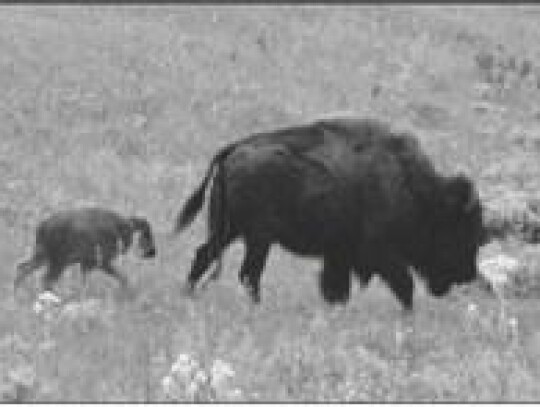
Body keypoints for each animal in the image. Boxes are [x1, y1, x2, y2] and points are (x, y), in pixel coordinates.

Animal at [14, 210, 156, 294]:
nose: (151, 252)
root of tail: (42, 227)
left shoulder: (87, 264)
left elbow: (84, 281)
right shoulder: (101, 262)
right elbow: (122, 277)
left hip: (43, 255)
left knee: (23, 267)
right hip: (58, 261)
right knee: (46, 279)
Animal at [174, 118, 486, 312]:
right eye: (459, 231)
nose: (468, 275)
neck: (411, 185)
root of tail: (233, 150)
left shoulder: (340, 253)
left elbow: (337, 288)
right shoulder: (379, 251)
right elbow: (404, 284)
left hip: (230, 230)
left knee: (205, 255)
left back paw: (188, 296)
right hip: (257, 238)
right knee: (249, 273)